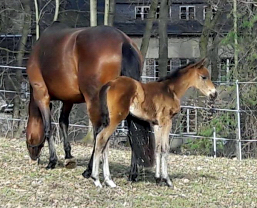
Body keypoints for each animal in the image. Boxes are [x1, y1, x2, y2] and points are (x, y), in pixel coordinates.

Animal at [26, 21, 154, 180]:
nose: (33, 157)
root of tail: (123, 41)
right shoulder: (68, 100)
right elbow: (63, 122)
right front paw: (68, 156)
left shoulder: (41, 94)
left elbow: (49, 127)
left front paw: (52, 161)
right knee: (132, 128)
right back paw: (133, 173)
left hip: (94, 101)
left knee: (99, 131)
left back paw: (89, 170)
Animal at [87, 59, 216, 188]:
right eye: (204, 77)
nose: (214, 94)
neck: (170, 90)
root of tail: (110, 84)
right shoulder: (166, 121)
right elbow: (165, 148)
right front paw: (167, 180)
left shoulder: (156, 124)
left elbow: (158, 148)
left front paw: (158, 178)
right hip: (116, 119)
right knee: (101, 139)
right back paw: (96, 179)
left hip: (109, 120)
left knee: (105, 144)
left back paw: (109, 181)